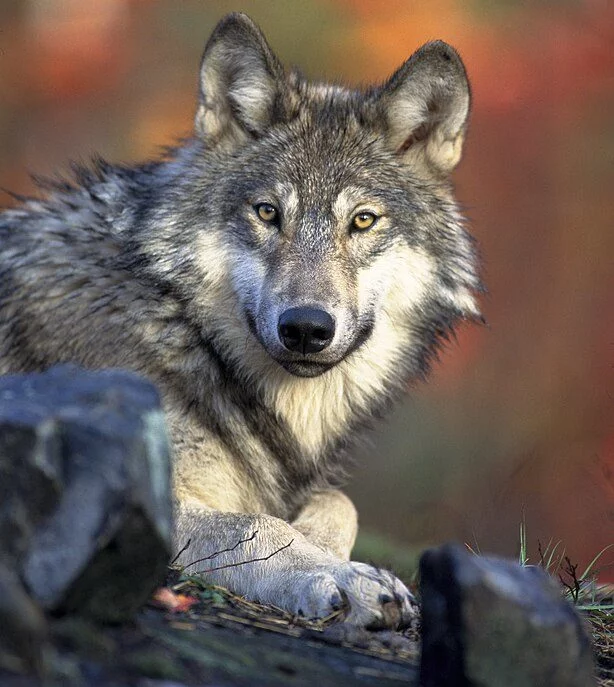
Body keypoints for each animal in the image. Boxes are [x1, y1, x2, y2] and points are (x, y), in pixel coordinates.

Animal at [0, 13, 481, 628]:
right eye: (268, 213)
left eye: (363, 221)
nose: (306, 328)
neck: (181, 327)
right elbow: (256, 524)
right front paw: (343, 577)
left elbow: (339, 501)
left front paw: (330, 552)